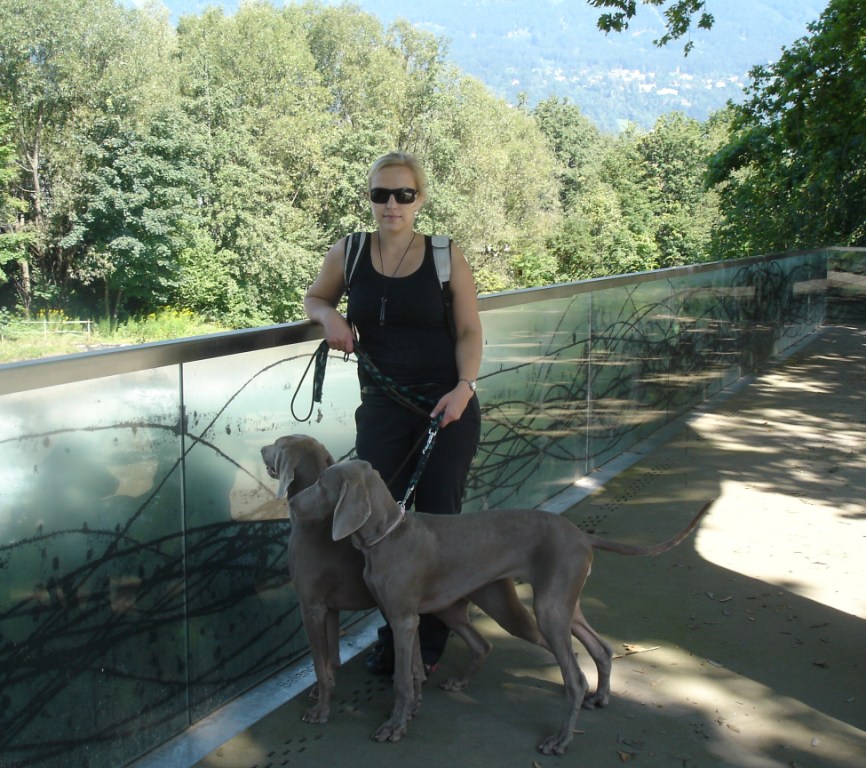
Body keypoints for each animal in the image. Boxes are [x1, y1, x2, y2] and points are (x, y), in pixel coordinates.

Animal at [261, 435, 546, 724]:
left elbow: (319, 665)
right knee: (480, 644)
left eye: (277, 444)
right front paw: (324, 692)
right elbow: (331, 659)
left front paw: (320, 710)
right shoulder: (329, 608)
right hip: (455, 604)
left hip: (505, 611)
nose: (261, 448)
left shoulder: (311, 607)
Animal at [290, 458, 712, 754]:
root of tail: (582, 536)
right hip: (550, 604)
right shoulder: (408, 618)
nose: (291, 502)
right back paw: (599, 695)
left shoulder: (403, 619)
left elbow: (402, 681)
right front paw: (409, 713)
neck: (387, 536)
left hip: (543, 611)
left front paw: (394, 726)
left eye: (321, 483)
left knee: (573, 674)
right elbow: (415, 674)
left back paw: (561, 739)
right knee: (597, 647)